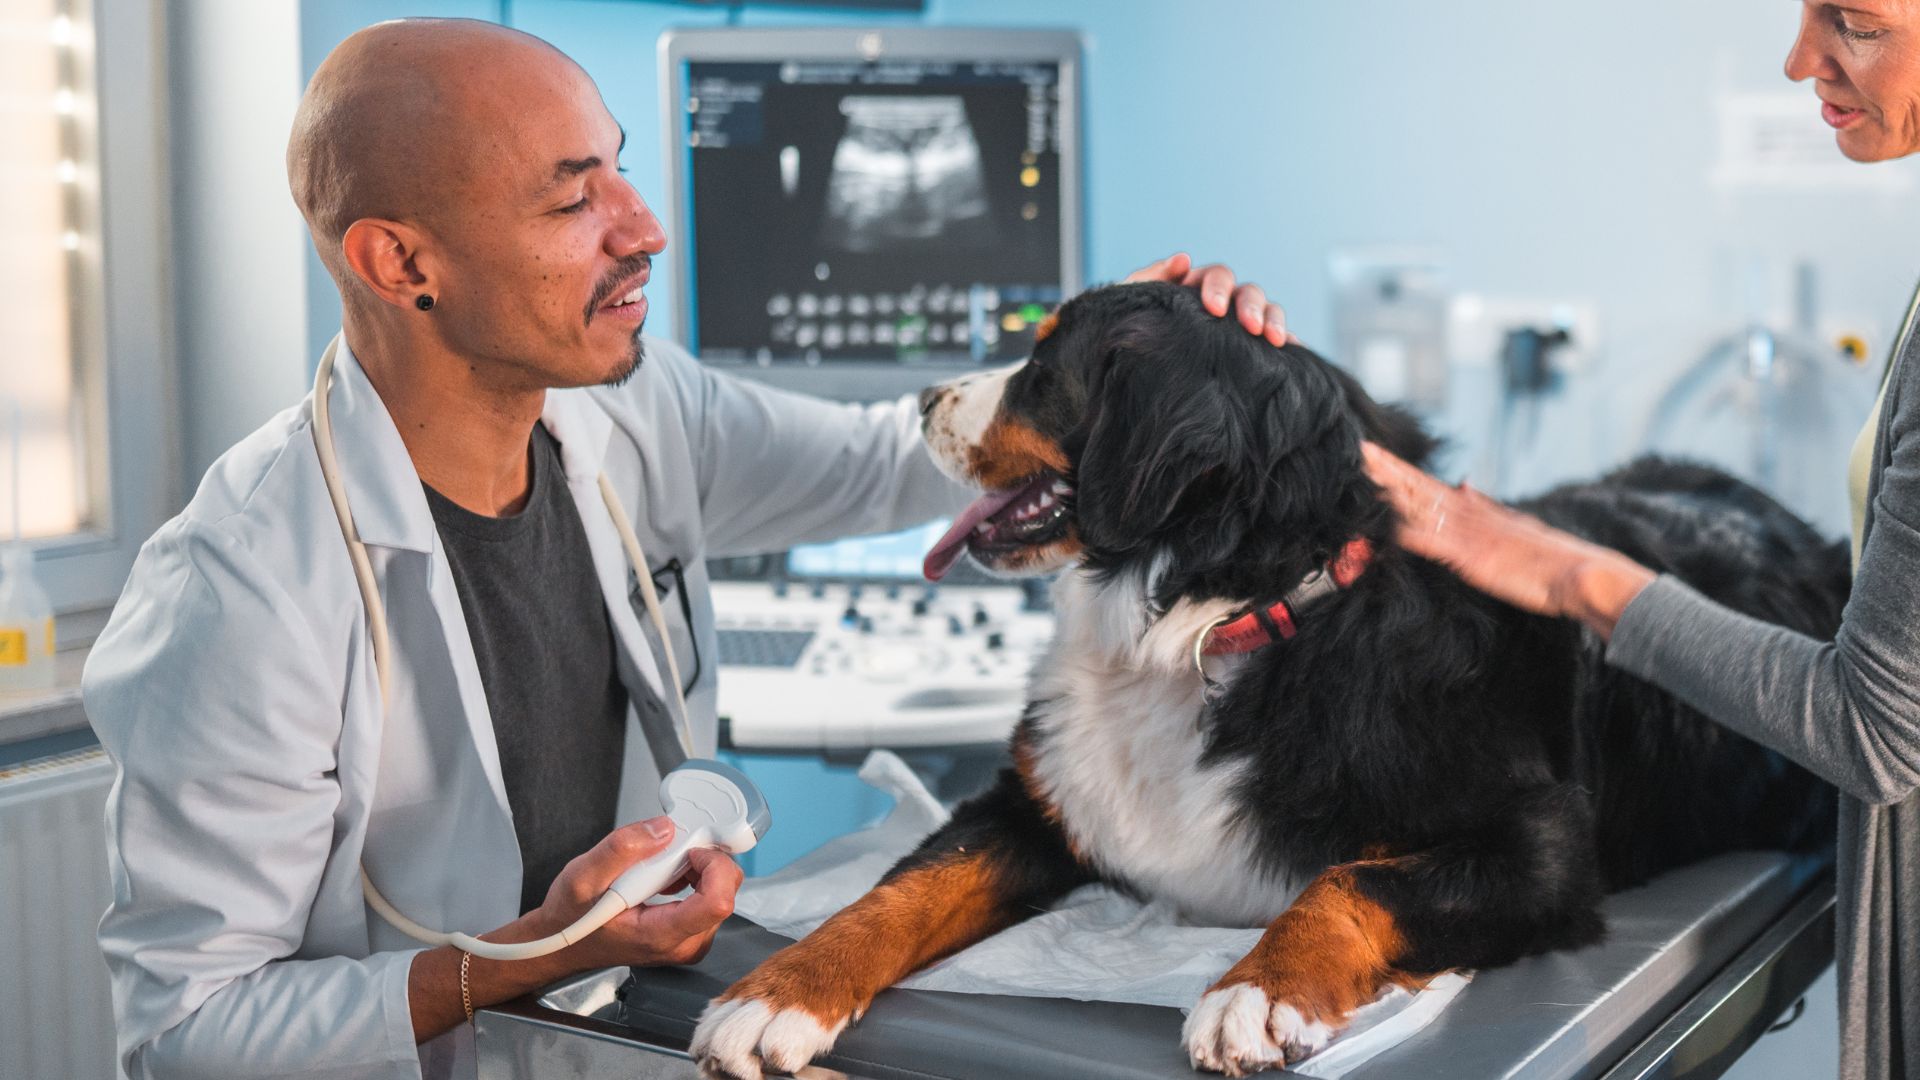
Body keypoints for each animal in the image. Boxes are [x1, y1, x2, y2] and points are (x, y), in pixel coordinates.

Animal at [695, 282, 1843, 1068]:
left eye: (1044, 362)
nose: (920, 395)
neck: (1209, 624)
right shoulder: (1036, 802)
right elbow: (899, 893)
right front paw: (778, 990)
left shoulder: (1544, 843)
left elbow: (1349, 880)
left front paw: (1259, 988)